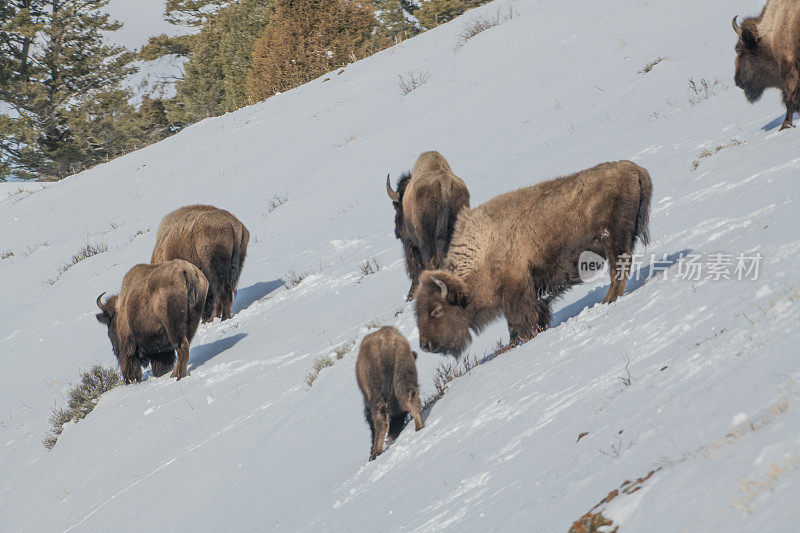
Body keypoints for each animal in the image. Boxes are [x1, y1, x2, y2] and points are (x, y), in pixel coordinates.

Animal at [356, 326, 424, 460]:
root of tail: (387, 340)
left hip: (377, 393)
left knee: (380, 420)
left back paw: (375, 453)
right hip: (403, 377)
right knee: (411, 399)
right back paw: (419, 426)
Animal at [412, 160, 648, 356]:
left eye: (437, 310)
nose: (425, 345)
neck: (482, 249)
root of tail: (632, 168)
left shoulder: (516, 292)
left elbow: (520, 320)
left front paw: (519, 342)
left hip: (613, 241)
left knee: (618, 272)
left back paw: (608, 300)